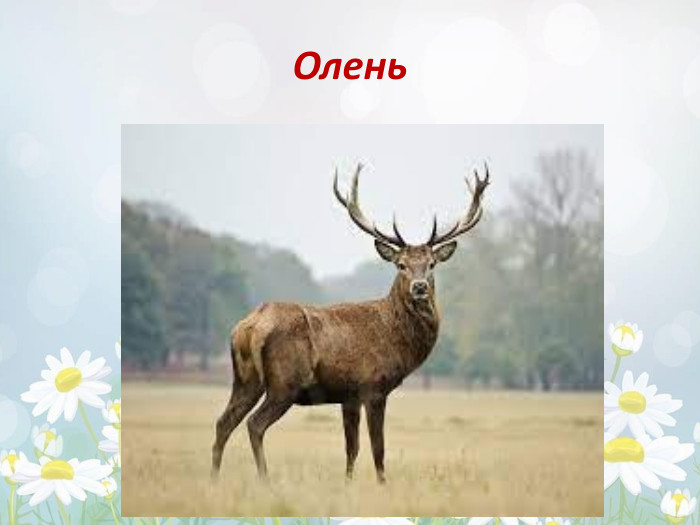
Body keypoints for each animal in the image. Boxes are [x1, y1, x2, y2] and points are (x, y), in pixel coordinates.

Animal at [211, 163, 490, 483]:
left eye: (431, 264)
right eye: (401, 265)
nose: (419, 287)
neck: (397, 339)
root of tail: (248, 327)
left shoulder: (348, 396)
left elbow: (351, 449)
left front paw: (348, 483)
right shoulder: (373, 386)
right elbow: (377, 448)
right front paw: (382, 484)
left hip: (245, 379)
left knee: (223, 422)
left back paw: (214, 479)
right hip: (284, 382)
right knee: (254, 424)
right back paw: (264, 480)